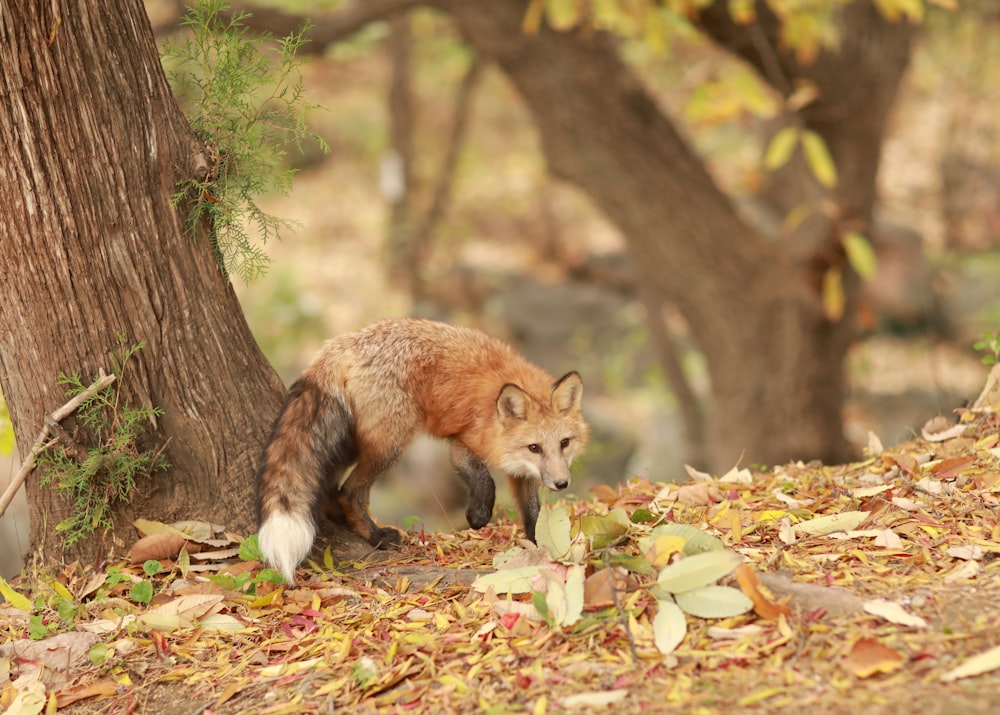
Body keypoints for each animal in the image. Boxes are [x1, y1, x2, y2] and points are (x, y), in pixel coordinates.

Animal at [254, 318, 588, 580]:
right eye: (534, 447)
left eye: (564, 443)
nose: (562, 483)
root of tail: (339, 344)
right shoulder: (461, 442)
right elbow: (484, 479)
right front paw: (478, 516)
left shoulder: (522, 472)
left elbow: (532, 512)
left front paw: (539, 545)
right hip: (391, 444)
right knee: (349, 492)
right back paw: (377, 537)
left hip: (350, 443)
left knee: (330, 486)